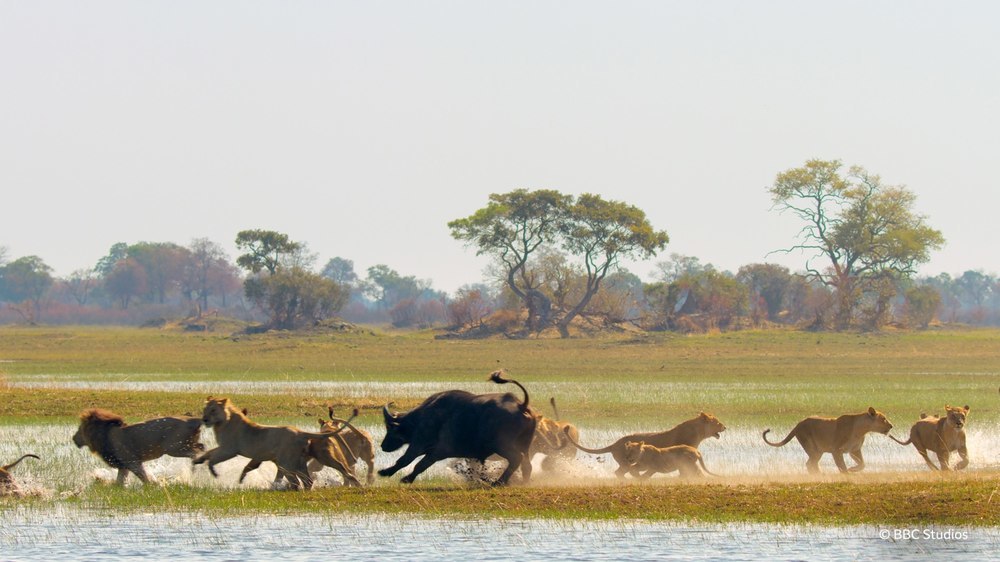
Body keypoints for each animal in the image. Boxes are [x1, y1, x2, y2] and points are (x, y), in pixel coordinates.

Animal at [72, 406, 205, 482]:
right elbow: (119, 483)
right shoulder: (124, 466)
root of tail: (194, 420)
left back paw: (194, 469)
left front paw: (152, 486)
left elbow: (144, 478)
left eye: (80, 429)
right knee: (202, 447)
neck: (105, 434)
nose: (73, 438)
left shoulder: (132, 462)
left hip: (174, 448)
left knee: (195, 453)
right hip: (185, 444)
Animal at [192, 396, 364, 488]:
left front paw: (214, 473)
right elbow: (209, 454)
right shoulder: (225, 448)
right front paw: (196, 462)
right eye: (205, 409)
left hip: (289, 462)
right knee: (307, 480)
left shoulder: (229, 449)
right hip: (297, 461)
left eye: (213, 410)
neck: (222, 423)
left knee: (300, 481)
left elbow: (213, 459)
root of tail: (300, 432)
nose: (204, 419)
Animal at [378, 370, 540, 484]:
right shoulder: (429, 450)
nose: (383, 446)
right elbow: (415, 463)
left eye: (390, 428)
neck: (423, 418)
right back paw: (524, 482)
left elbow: (410, 461)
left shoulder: (426, 447)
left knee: (516, 459)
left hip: (502, 446)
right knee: (527, 465)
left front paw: (393, 475)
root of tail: (520, 405)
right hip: (525, 446)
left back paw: (498, 482)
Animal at [564, 412, 728, 476]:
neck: (698, 432)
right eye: (717, 422)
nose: (725, 427)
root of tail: (615, 444)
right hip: (626, 462)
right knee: (623, 472)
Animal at [760, 404, 896, 470]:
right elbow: (842, 466)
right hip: (812, 448)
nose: (891, 425)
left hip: (818, 451)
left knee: (811, 464)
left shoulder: (854, 450)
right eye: (883, 419)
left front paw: (853, 469)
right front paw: (848, 474)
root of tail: (798, 424)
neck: (862, 430)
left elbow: (862, 464)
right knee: (811, 464)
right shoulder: (836, 450)